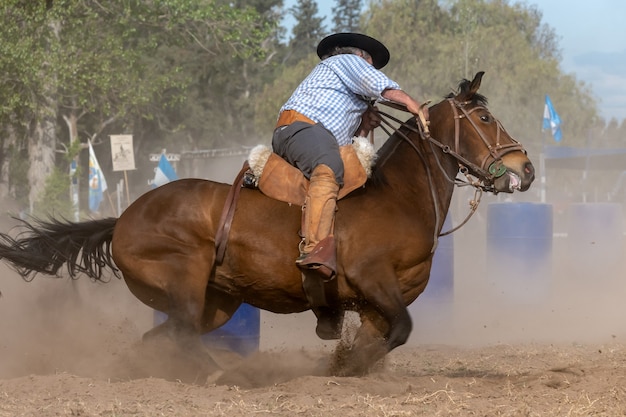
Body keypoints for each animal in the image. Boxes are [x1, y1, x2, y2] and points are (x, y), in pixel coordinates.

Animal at [0, 71, 532, 376]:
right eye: (485, 117)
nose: (525, 169)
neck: (398, 196)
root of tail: (124, 219)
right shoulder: (375, 281)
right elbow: (400, 329)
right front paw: (344, 369)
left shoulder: (380, 300)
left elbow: (387, 335)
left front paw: (346, 365)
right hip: (185, 283)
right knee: (181, 336)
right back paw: (224, 375)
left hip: (217, 302)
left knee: (164, 338)